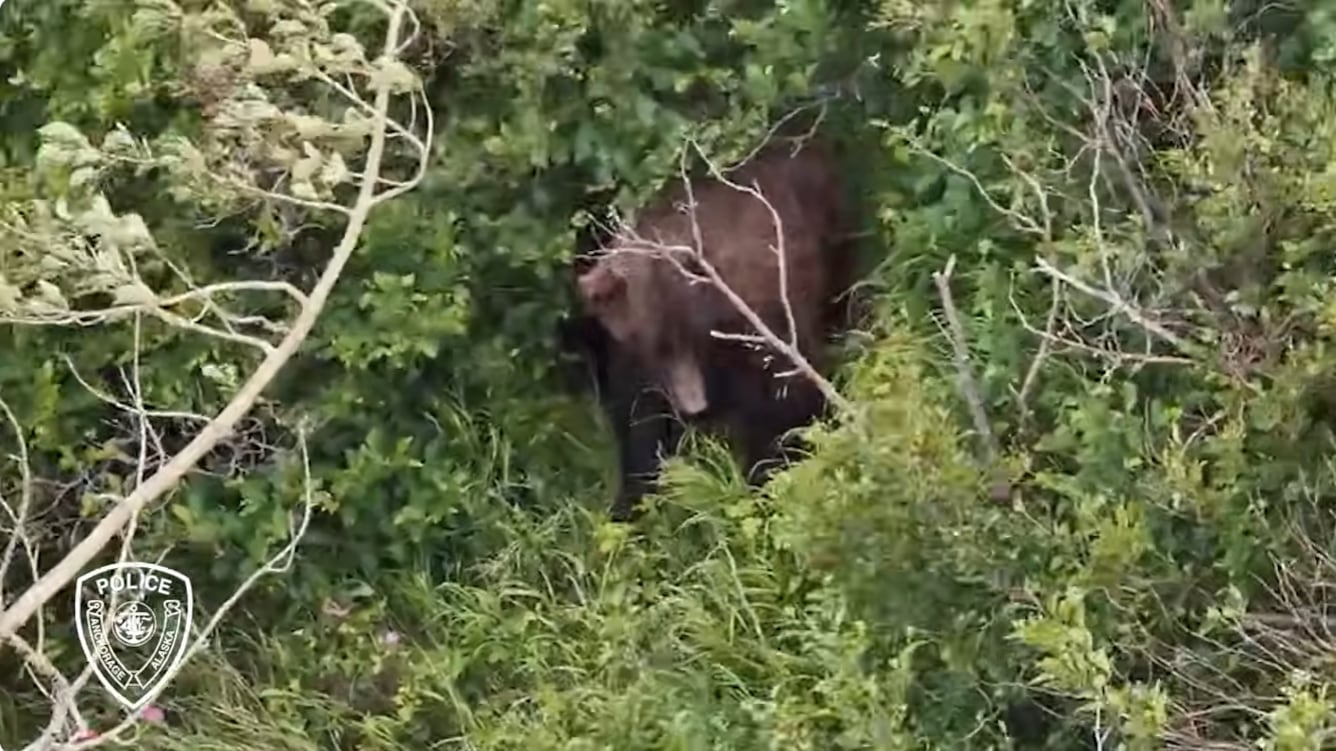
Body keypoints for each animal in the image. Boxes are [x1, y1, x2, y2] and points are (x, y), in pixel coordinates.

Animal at [566, 137, 856, 521]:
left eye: (692, 335)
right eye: (654, 346)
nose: (694, 407)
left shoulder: (756, 327)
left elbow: (785, 404)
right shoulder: (630, 361)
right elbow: (639, 427)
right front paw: (630, 505)